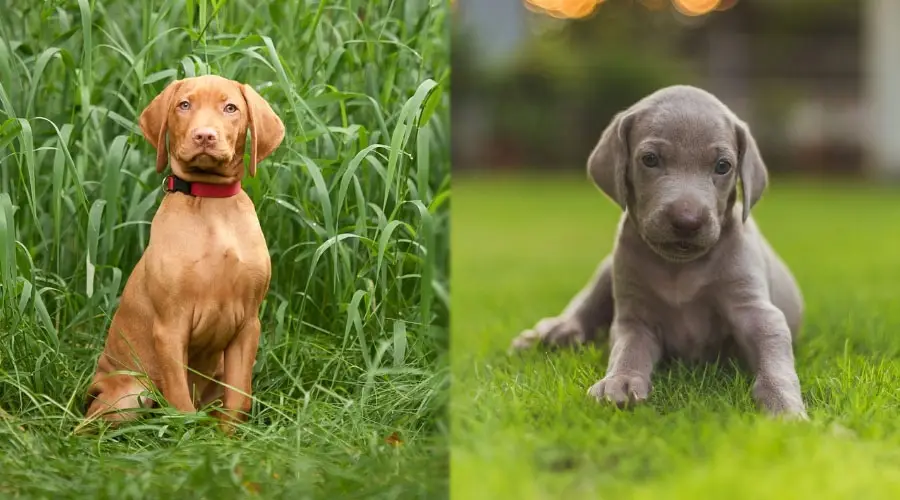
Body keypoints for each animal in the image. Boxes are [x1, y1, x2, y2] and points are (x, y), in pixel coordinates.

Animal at [84, 76, 284, 428]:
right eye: (184, 105)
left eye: (230, 108)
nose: (204, 136)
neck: (210, 202)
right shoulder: (170, 326)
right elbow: (179, 400)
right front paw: (187, 434)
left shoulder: (248, 324)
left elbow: (238, 399)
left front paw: (225, 436)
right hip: (130, 393)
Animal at [512, 85, 808, 418]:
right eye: (650, 159)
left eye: (723, 166)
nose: (687, 221)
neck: (680, 268)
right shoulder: (635, 319)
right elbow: (628, 351)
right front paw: (620, 381)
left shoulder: (756, 310)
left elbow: (775, 361)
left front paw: (784, 406)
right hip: (609, 268)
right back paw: (553, 332)